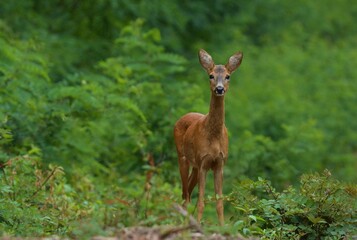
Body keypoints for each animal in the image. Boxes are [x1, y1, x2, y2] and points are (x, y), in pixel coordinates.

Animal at [172, 48, 242, 225]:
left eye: (228, 76)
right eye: (211, 75)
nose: (219, 89)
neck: (215, 137)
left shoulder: (219, 163)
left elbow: (219, 202)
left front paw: (222, 226)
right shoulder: (203, 161)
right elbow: (201, 201)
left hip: (195, 166)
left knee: (187, 193)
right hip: (182, 157)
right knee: (185, 194)